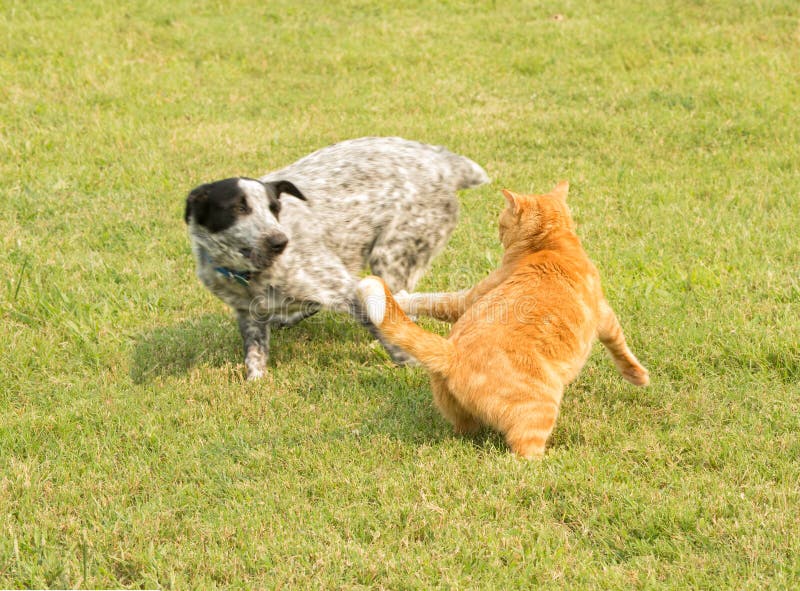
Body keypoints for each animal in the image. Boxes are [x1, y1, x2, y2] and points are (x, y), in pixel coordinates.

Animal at [187, 137, 488, 382]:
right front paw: (256, 380)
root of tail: (442, 162)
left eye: (275, 208)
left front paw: (410, 362)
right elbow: (255, 353)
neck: (250, 275)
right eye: (238, 208)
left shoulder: (345, 288)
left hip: (390, 256)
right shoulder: (247, 313)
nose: (280, 241)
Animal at [358, 183, 648, 460]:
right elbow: (619, 346)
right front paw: (637, 376)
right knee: (523, 454)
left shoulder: (470, 299)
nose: (497, 232)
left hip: (464, 419)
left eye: (501, 222)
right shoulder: (604, 314)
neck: (551, 243)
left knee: (468, 432)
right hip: (541, 407)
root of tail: (452, 353)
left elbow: (434, 300)